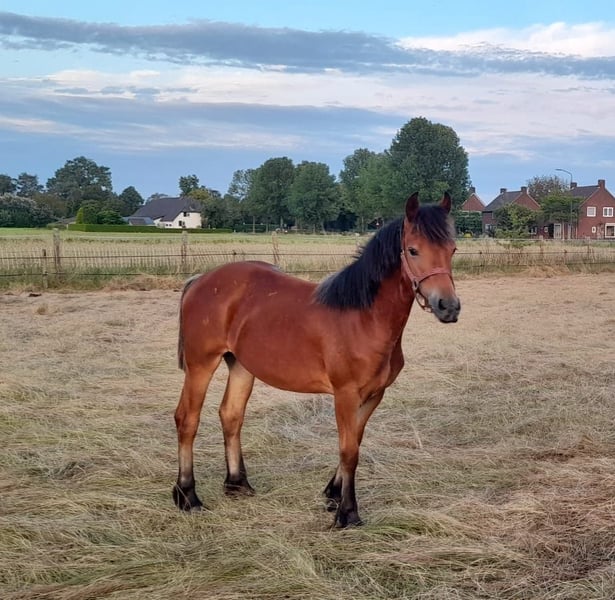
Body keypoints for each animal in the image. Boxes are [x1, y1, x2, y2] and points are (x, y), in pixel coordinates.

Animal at [173, 192, 460, 528]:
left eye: (452, 249)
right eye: (413, 250)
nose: (448, 306)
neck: (364, 318)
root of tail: (200, 280)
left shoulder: (374, 394)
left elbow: (355, 442)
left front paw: (333, 495)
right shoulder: (345, 394)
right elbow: (348, 450)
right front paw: (347, 513)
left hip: (241, 366)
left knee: (231, 415)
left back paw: (237, 484)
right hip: (200, 365)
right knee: (187, 419)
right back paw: (187, 496)